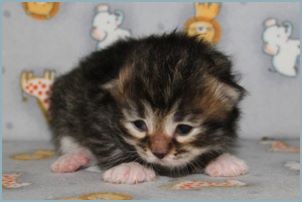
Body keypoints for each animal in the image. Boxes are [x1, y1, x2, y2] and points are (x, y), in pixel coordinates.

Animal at [49, 32, 248, 184]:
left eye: (184, 129)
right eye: (139, 125)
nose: (159, 153)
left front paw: (220, 159)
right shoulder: (98, 113)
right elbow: (108, 143)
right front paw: (129, 166)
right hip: (66, 102)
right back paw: (74, 158)